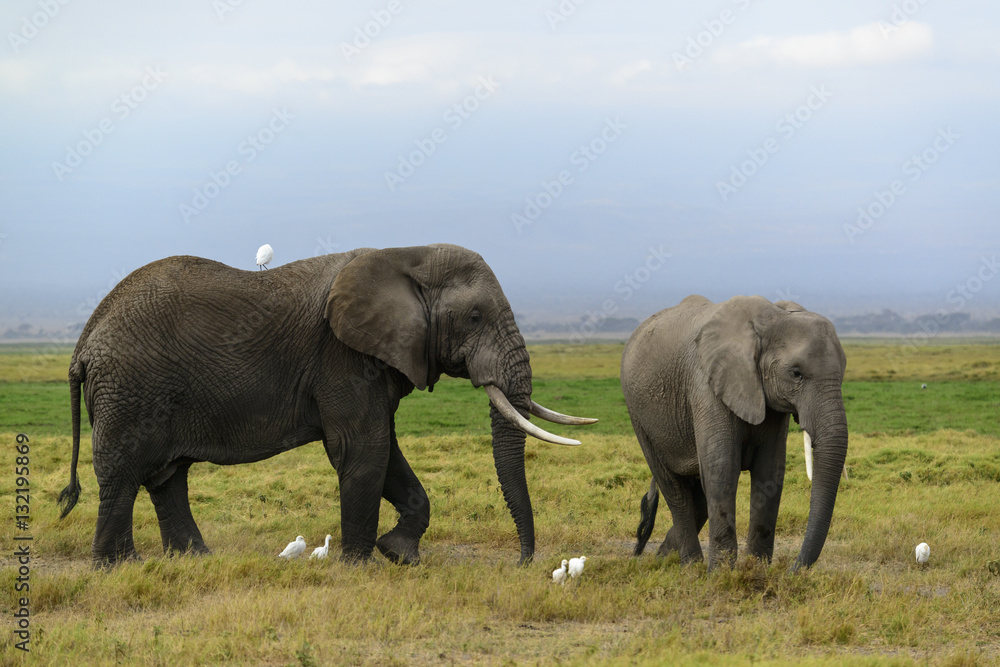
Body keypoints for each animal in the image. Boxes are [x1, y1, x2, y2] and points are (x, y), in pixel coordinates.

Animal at [58, 245, 592, 568]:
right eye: (476, 316)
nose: (522, 563)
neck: (406, 255)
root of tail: (85, 337)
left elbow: (385, 452)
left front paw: (399, 555)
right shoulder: (342, 355)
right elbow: (363, 450)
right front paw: (359, 565)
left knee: (167, 477)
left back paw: (194, 561)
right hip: (129, 391)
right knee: (124, 475)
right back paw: (117, 567)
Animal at [620, 294, 848, 572]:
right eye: (796, 374)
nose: (792, 570)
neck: (772, 318)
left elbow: (770, 471)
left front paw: (756, 570)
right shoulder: (707, 386)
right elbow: (722, 471)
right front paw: (721, 575)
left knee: (697, 494)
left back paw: (665, 558)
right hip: (638, 415)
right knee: (675, 489)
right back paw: (691, 567)